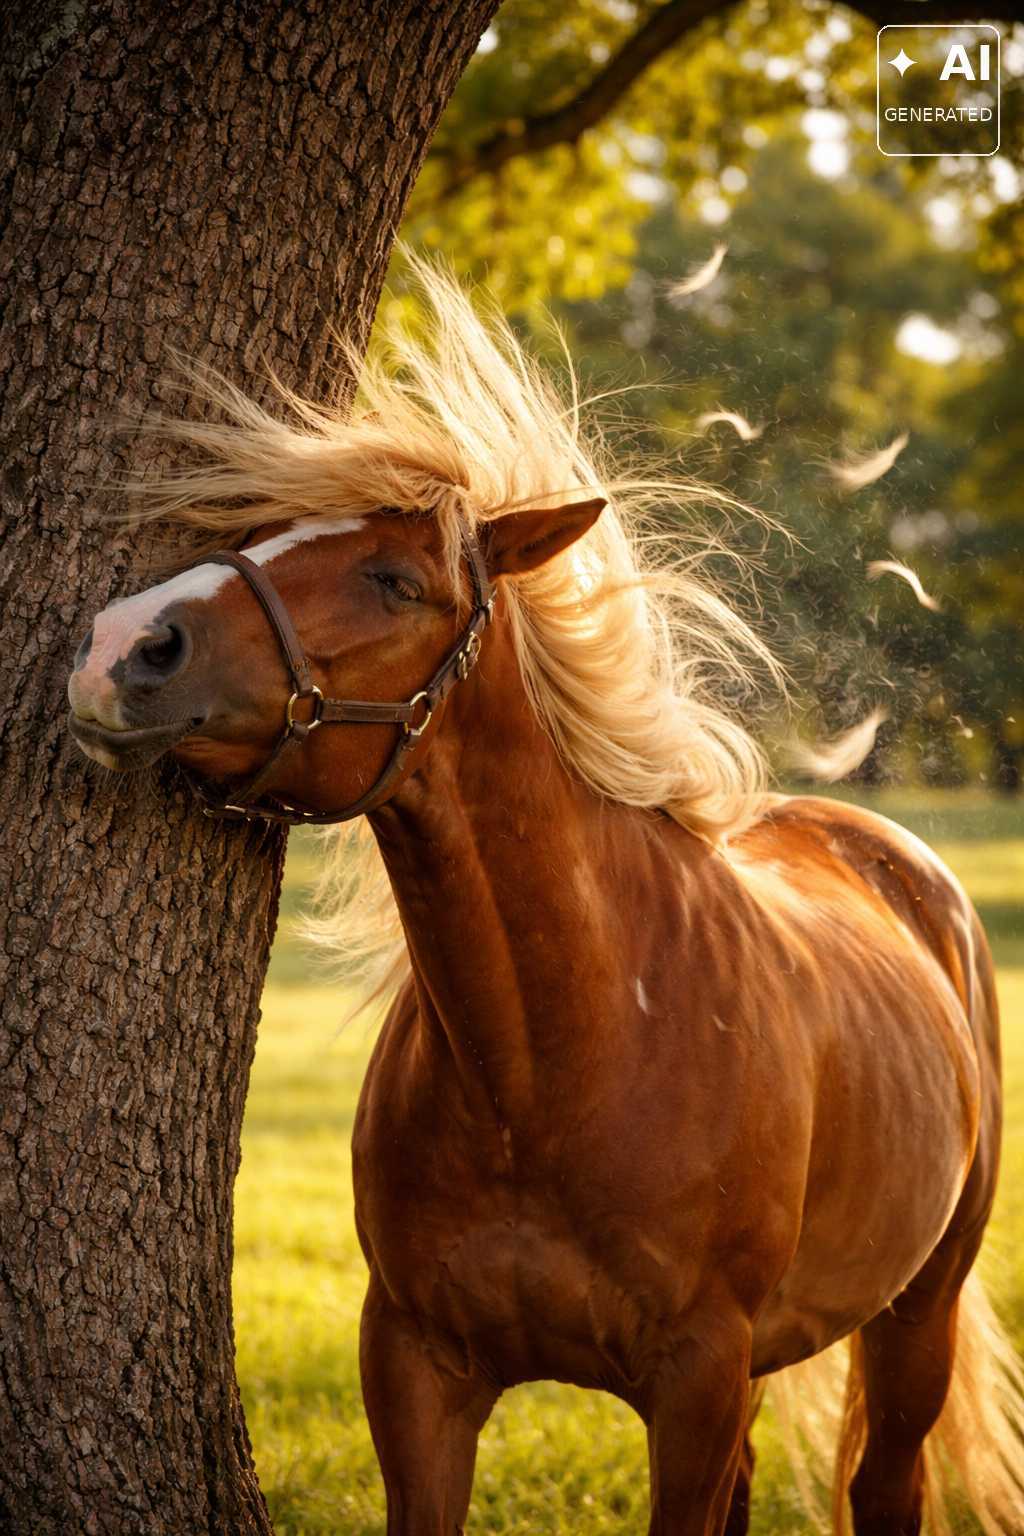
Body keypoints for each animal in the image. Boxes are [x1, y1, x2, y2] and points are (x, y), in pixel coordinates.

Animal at [67, 263, 1024, 1535]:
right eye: (260, 535)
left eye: (396, 580)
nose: (123, 645)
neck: (558, 1063)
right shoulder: (417, 1369)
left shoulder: (696, 1380)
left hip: (918, 1313)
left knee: (887, 1482)